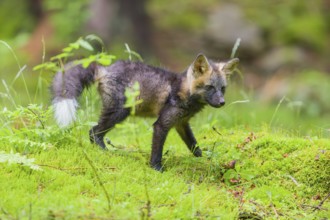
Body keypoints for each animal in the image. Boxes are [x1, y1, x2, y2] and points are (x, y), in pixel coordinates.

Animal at [51, 54, 237, 171]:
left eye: (223, 88)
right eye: (210, 87)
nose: (222, 102)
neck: (183, 92)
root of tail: (105, 68)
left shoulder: (181, 123)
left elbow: (194, 146)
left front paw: (204, 159)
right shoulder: (162, 124)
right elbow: (157, 151)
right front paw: (156, 169)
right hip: (119, 113)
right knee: (93, 132)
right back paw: (105, 152)